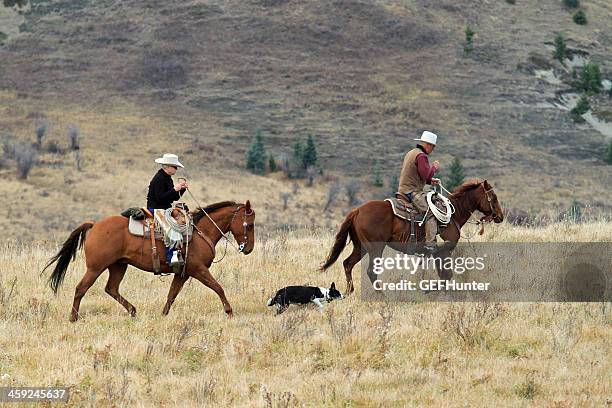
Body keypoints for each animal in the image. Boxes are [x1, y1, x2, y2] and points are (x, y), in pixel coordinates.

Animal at [43, 201, 253, 322]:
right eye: (249, 224)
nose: (248, 248)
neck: (201, 233)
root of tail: (95, 225)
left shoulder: (182, 273)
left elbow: (171, 295)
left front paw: (163, 316)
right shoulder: (199, 270)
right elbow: (218, 287)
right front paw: (229, 312)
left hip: (118, 266)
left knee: (111, 289)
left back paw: (133, 311)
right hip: (95, 268)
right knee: (81, 288)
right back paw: (73, 318)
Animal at [320, 179, 502, 294]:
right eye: (493, 197)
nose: (500, 216)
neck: (453, 214)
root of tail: (357, 210)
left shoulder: (438, 254)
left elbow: (444, 276)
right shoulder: (443, 251)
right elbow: (447, 276)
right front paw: (428, 290)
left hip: (361, 247)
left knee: (347, 264)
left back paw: (349, 292)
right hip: (375, 248)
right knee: (371, 271)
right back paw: (382, 295)